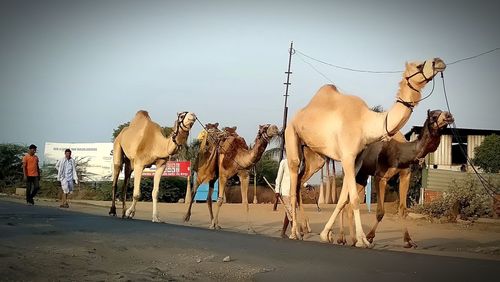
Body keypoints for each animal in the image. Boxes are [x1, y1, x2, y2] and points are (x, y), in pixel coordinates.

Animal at [338, 109, 456, 247]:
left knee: (349, 204)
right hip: (349, 170)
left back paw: (353, 240)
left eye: (442, 112)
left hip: (362, 176)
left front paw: (409, 241)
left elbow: (403, 209)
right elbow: (380, 212)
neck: (401, 152)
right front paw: (370, 237)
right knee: (343, 200)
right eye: (433, 116)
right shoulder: (380, 176)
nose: (448, 116)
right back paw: (343, 239)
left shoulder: (405, 175)